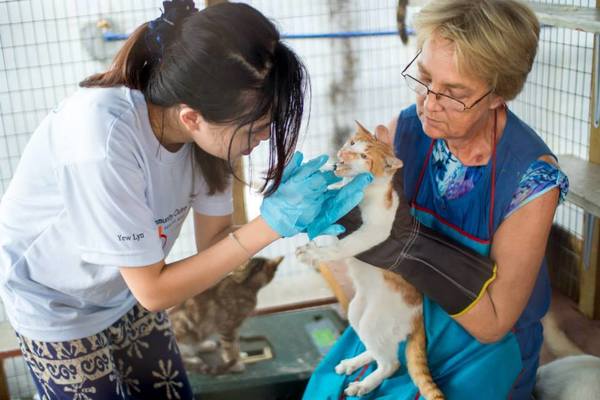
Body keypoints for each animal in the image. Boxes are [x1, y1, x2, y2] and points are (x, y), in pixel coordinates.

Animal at [296, 122, 442, 400]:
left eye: (364, 156)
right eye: (352, 143)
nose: (343, 154)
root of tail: (419, 318)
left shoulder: (377, 229)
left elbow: (344, 246)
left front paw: (313, 254)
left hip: (374, 321)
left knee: (391, 363)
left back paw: (364, 384)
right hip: (356, 311)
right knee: (377, 350)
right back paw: (354, 362)